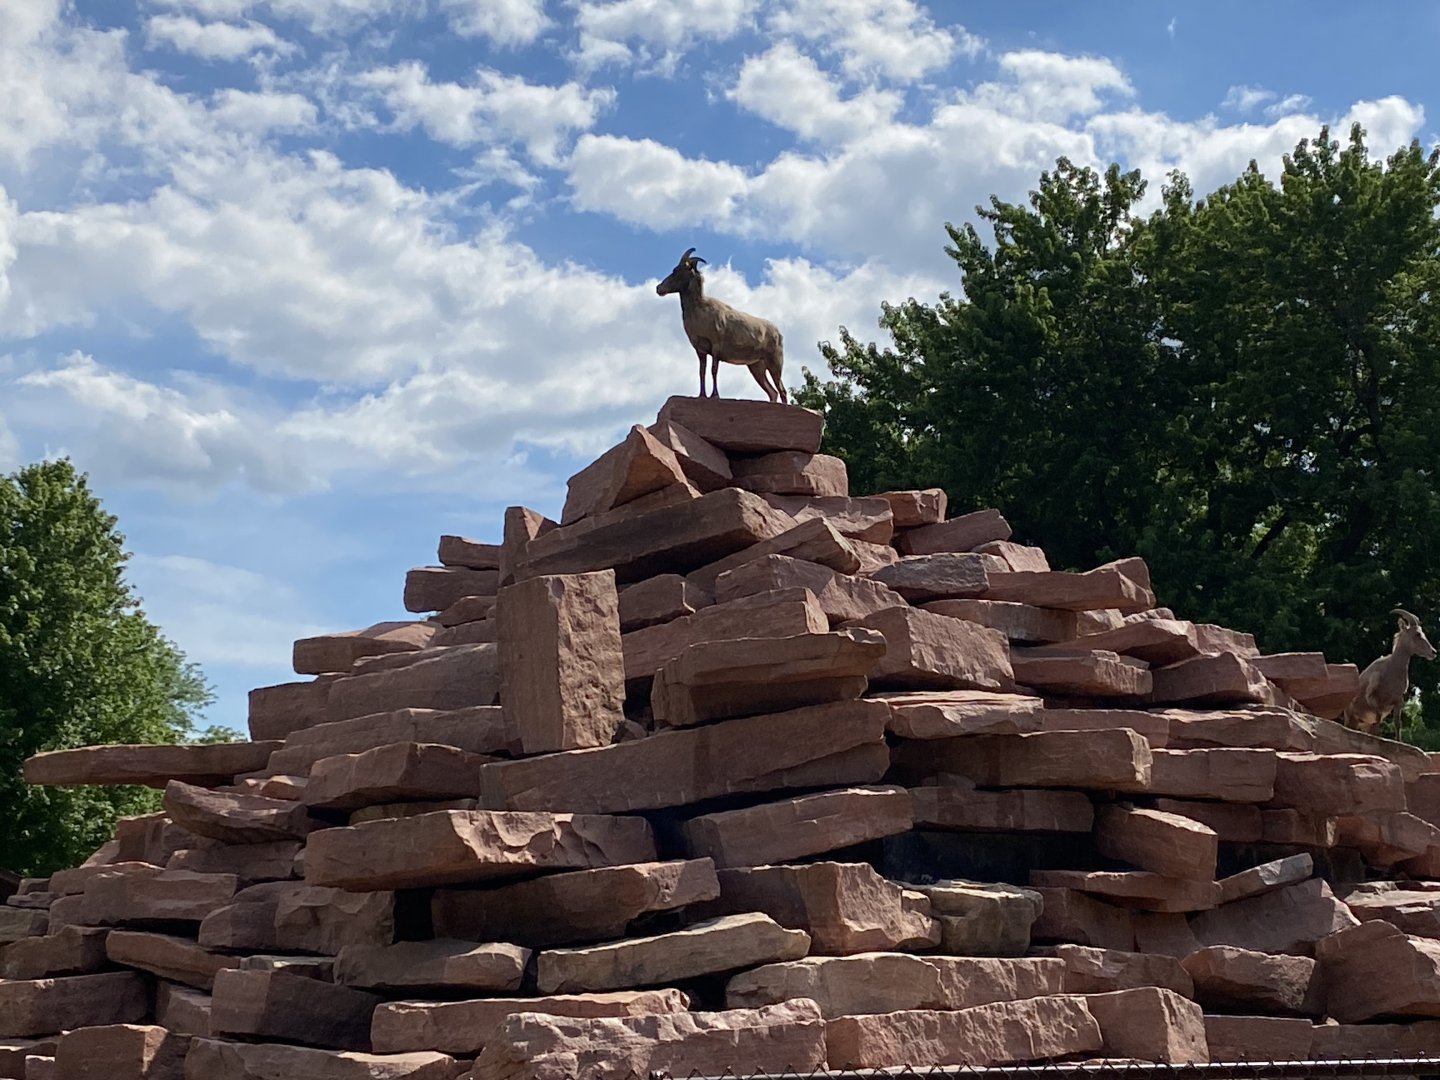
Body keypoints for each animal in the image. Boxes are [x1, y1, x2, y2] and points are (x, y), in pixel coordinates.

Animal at [655, 248, 787, 403]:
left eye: (677, 270)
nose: (659, 288)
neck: (699, 311)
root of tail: (778, 333)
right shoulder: (700, 350)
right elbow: (702, 371)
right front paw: (702, 395)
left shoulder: (716, 347)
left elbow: (714, 370)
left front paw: (715, 395)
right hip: (757, 367)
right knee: (773, 392)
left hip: (774, 363)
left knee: (782, 390)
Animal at [1341, 608, 1436, 742]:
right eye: (1417, 634)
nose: (1433, 652)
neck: (1391, 671)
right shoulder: (1373, 699)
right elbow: (1378, 719)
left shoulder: (1398, 702)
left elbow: (1397, 724)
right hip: (1350, 719)